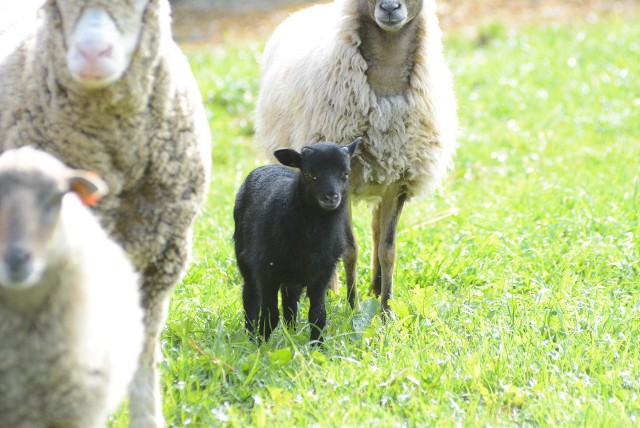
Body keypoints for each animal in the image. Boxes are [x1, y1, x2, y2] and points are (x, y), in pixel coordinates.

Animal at [234, 139, 360, 342]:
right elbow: (269, 313)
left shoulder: (323, 272)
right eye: (309, 174)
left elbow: (318, 314)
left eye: (346, 173)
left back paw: (291, 332)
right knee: (251, 296)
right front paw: (262, 343)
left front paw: (317, 344)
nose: (331, 197)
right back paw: (251, 335)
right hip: (245, 258)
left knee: (290, 301)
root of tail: (266, 166)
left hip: (293, 274)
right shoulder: (266, 269)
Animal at [254, 0, 456, 314]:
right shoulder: (343, 184)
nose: (389, 8)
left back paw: (375, 287)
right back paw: (333, 288)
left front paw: (386, 310)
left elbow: (388, 249)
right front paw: (352, 306)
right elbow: (348, 248)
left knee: (375, 229)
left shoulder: (398, 182)